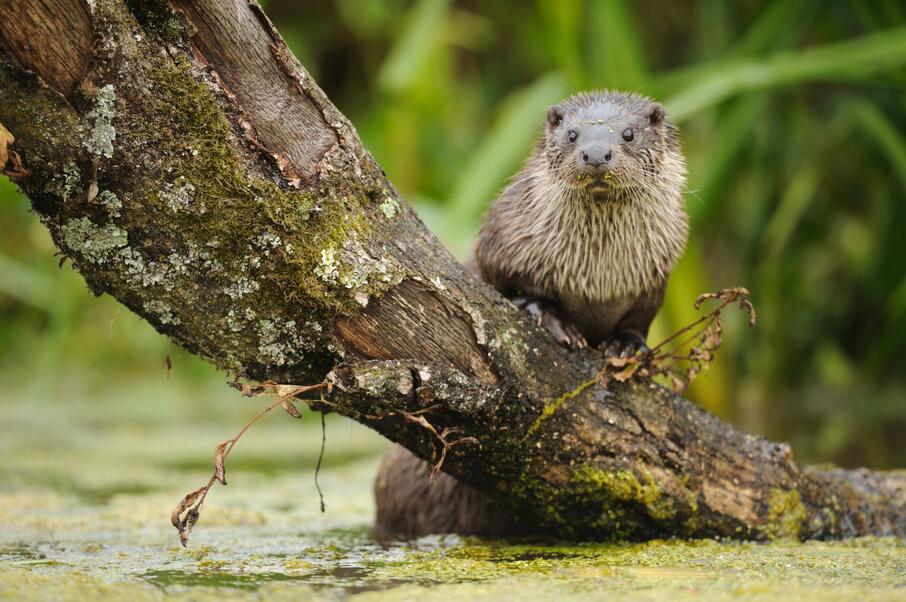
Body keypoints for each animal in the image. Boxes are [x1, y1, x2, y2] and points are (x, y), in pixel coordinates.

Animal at [375, 90, 688, 538]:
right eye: (572, 134)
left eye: (628, 133)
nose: (596, 153)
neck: (599, 275)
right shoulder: (503, 239)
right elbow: (507, 281)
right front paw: (553, 317)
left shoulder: (656, 273)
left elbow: (637, 321)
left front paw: (625, 347)